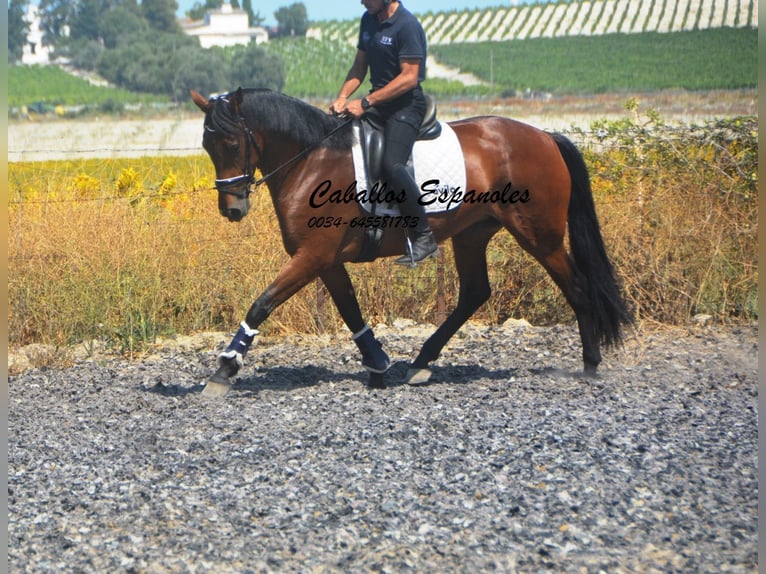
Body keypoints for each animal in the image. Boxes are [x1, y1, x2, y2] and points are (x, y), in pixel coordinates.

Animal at [190, 87, 631, 397]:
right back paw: (421, 362)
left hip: (539, 235)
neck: (312, 159)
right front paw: (378, 364)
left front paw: (224, 369)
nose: (232, 209)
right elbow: (350, 309)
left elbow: (263, 302)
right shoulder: (324, 258)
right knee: (475, 292)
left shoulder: (313, 255)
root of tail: (544, 136)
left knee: (576, 286)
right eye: (207, 146)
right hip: (472, 233)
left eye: (233, 144)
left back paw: (590, 364)